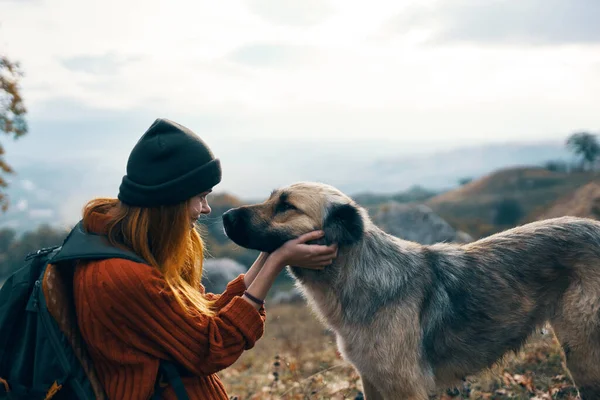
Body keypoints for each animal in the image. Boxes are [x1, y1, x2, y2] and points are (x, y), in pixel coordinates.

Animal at [221, 182, 600, 400]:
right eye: (272, 199)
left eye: (286, 206)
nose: (223, 216)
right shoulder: (372, 381)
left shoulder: (406, 386)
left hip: (582, 353)